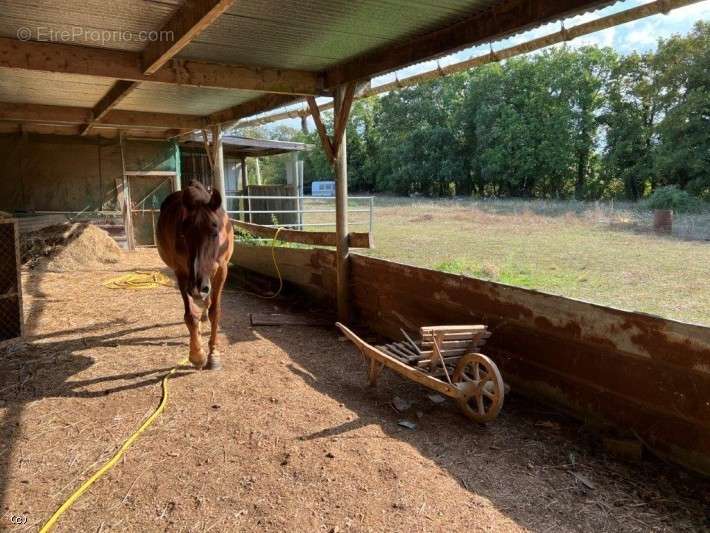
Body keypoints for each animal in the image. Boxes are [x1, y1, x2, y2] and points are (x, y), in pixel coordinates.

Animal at [157, 181, 235, 368]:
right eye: (183, 234)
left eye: (214, 232)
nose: (197, 287)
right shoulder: (181, 273)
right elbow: (190, 315)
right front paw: (197, 354)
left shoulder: (221, 270)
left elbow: (215, 311)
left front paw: (214, 353)